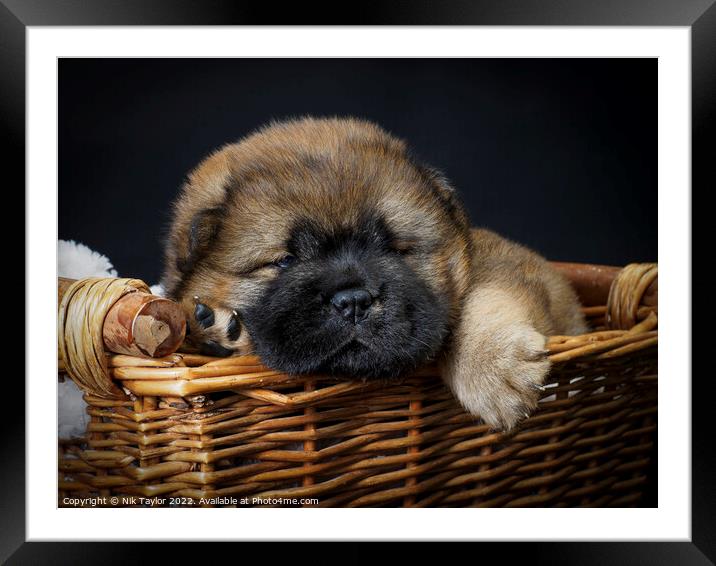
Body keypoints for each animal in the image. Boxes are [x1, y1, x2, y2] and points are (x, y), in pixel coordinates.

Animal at [162, 117, 588, 432]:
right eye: (285, 261)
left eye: (395, 249)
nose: (353, 301)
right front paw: (216, 327)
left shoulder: (504, 260)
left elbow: (485, 298)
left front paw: (496, 376)